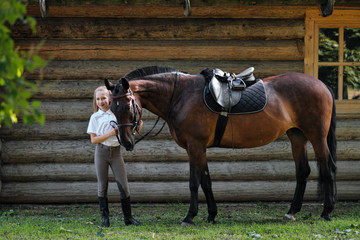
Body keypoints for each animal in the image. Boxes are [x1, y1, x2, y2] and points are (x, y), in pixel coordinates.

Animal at [105, 66, 338, 225]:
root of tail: (322, 85)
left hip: (317, 136)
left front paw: (190, 216)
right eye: (112, 107)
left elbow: (194, 182)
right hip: (297, 136)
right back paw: (292, 211)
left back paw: (326, 211)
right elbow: (206, 181)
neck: (180, 95)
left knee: (327, 169)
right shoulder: (199, 148)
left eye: (127, 105)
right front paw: (211, 214)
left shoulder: (195, 146)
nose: (126, 141)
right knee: (303, 171)